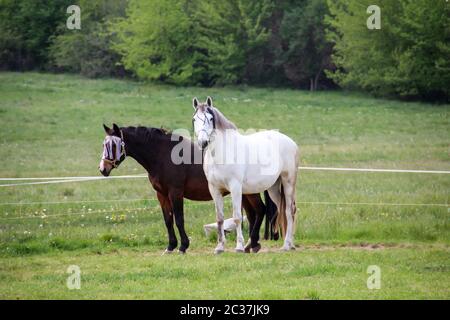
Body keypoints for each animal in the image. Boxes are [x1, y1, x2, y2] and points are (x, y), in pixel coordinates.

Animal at [99, 124, 278, 254]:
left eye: (114, 145)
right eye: (104, 144)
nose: (103, 169)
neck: (162, 155)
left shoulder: (175, 193)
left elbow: (179, 219)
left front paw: (183, 246)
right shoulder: (161, 195)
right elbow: (168, 220)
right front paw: (170, 246)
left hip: (249, 192)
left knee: (260, 211)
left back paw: (251, 244)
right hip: (245, 192)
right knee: (253, 214)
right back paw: (250, 245)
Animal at [191, 96, 298, 254]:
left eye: (210, 118)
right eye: (194, 119)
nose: (202, 142)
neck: (223, 153)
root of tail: (291, 142)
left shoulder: (235, 188)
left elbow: (237, 217)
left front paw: (239, 247)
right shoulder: (214, 189)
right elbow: (220, 218)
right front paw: (220, 247)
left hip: (288, 182)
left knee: (289, 211)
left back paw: (286, 245)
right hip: (273, 188)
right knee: (281, 210)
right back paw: (288, 244)